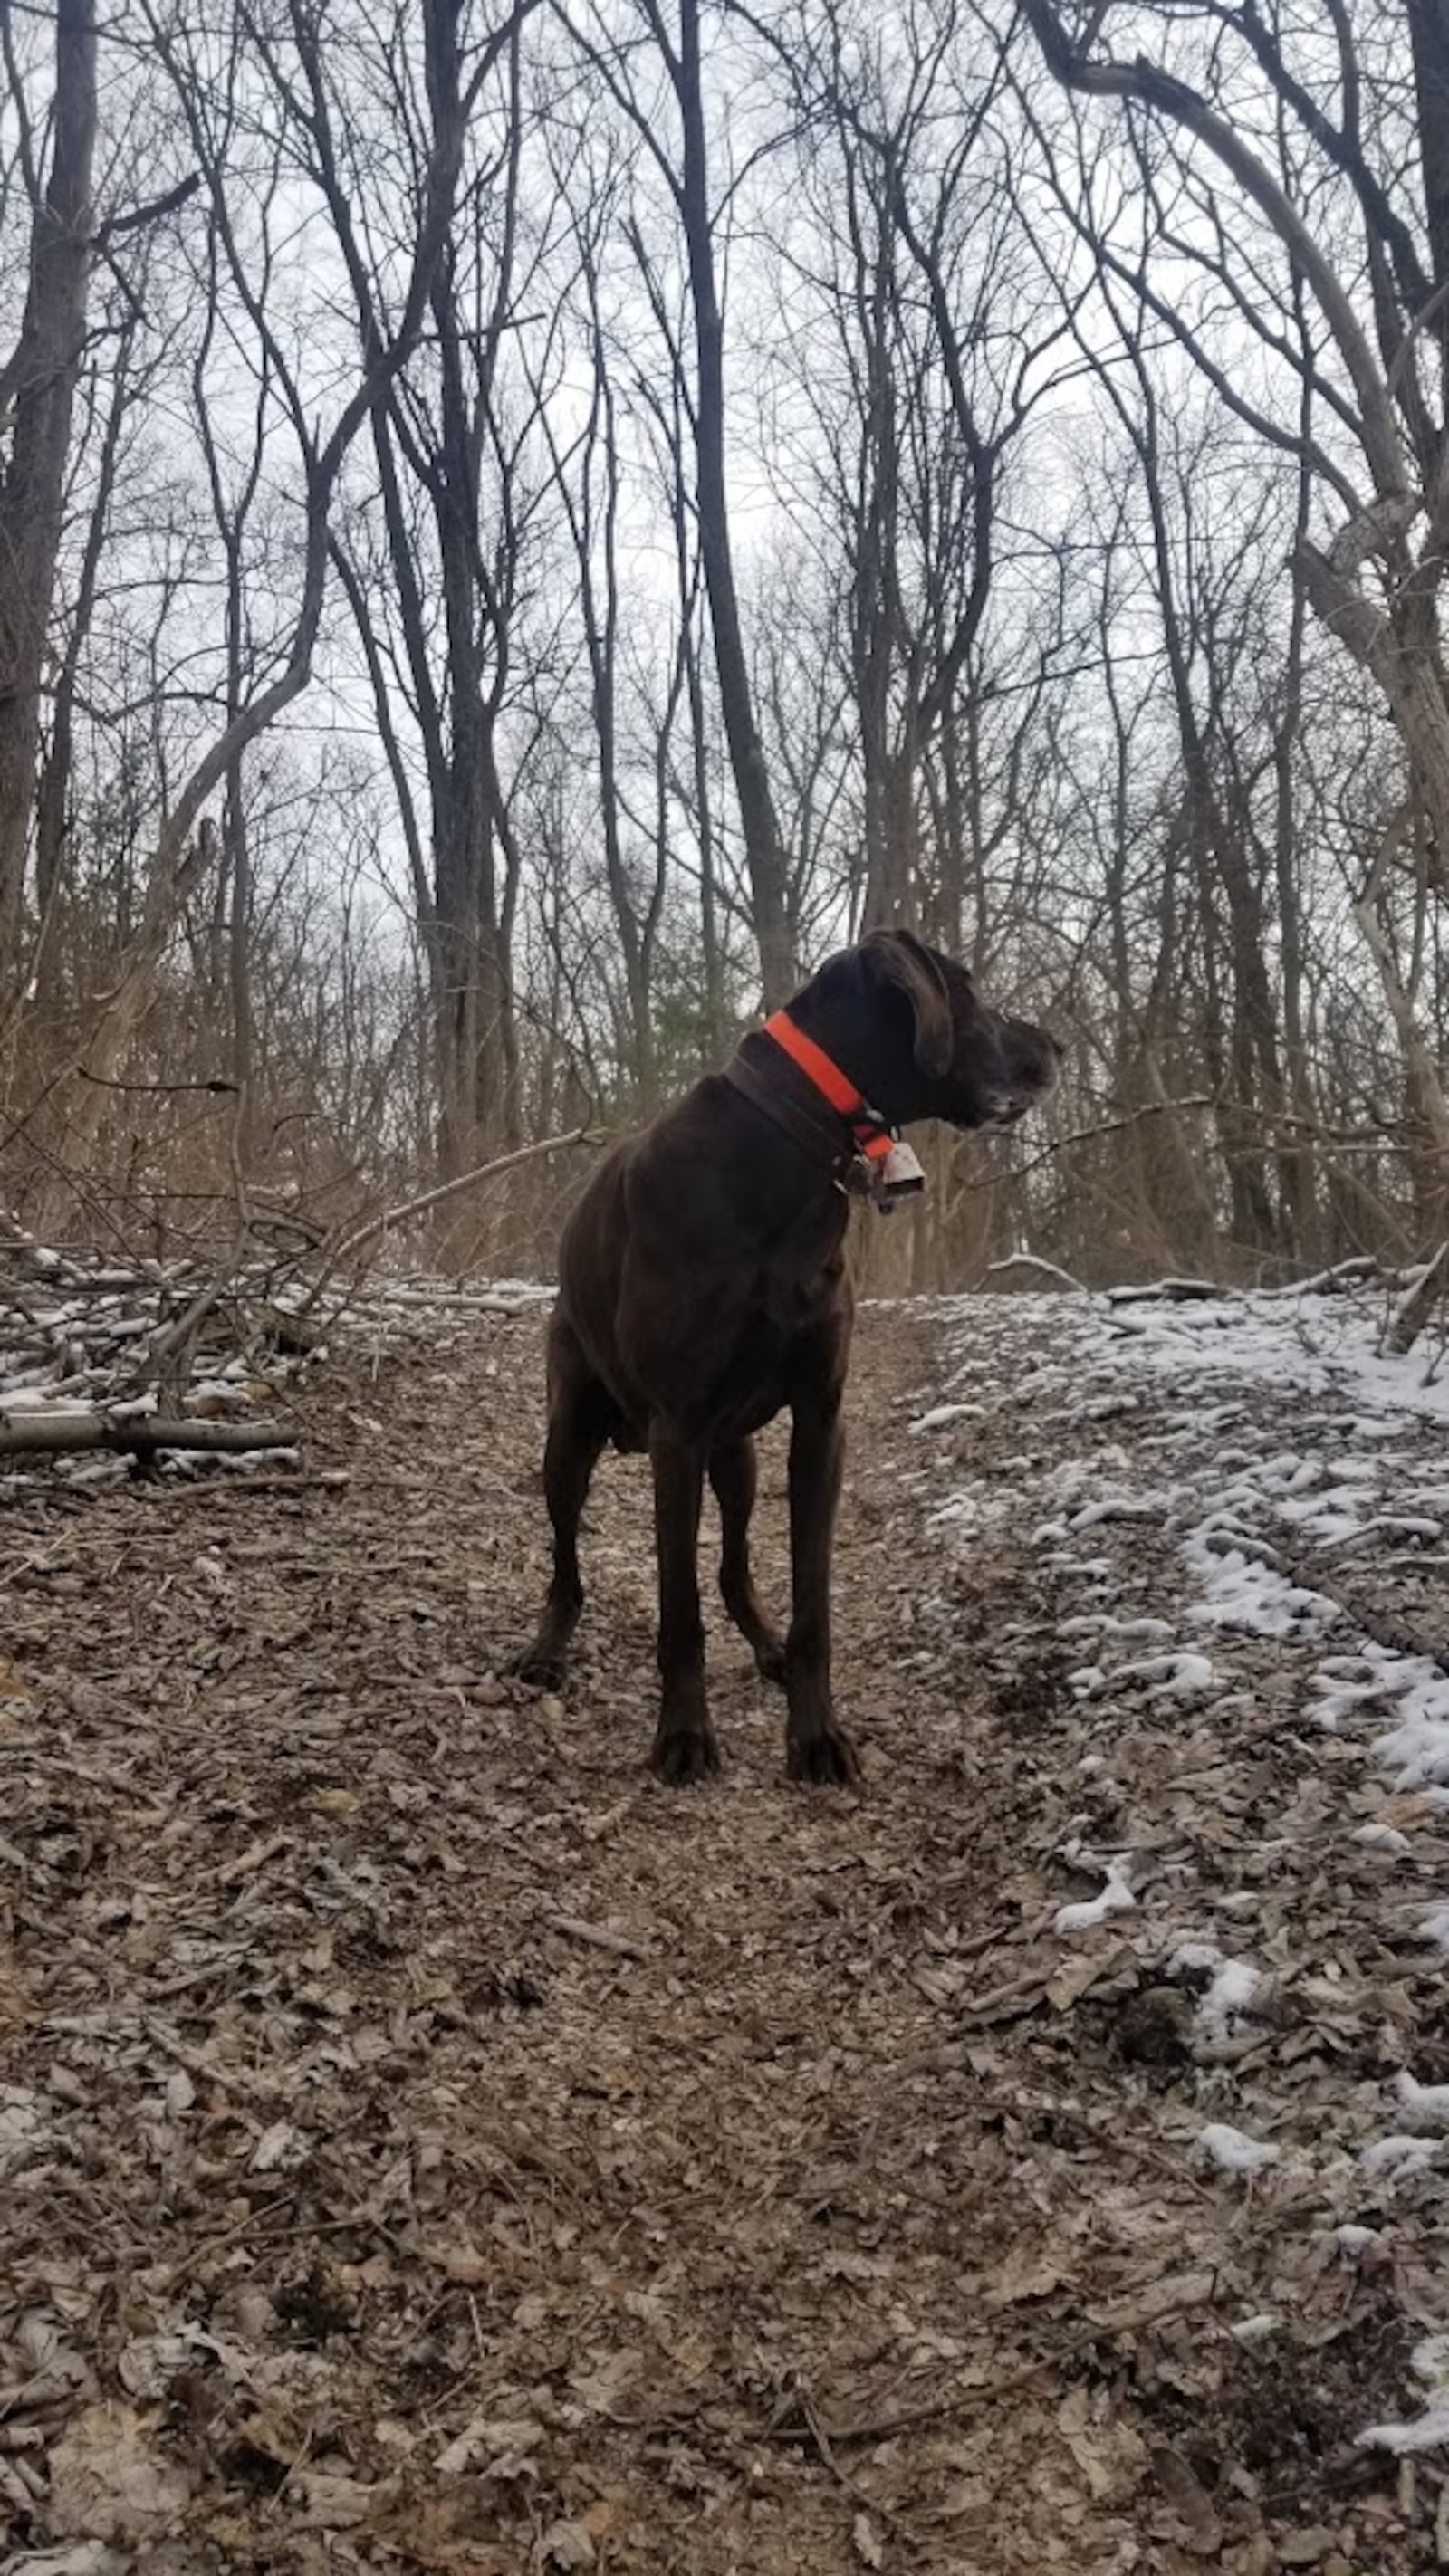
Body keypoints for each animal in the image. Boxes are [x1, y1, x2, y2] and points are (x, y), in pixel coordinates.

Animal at [513, 932, 1057, 1793]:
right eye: (966, 988)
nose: (1056, 1048)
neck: (784, 1146)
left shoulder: (818, 1422)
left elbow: (811, 1603)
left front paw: (816, 1734)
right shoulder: (676, 1432)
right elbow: (679, 1609)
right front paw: (684, 1735)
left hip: (737, 1457)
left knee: (736, 1567)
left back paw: (763, 1644)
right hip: (571, 1438)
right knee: (567, 1566)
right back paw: (545, 1649)